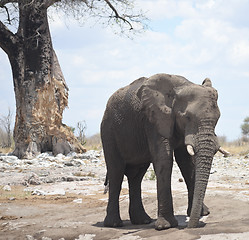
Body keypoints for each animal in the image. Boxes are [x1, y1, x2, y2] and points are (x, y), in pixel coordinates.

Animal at [100, 73, 221, 231]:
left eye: (217, 118)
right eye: (187, 117)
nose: (191, 226)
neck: (181, 86)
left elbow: (186, 162)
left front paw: (202, 213)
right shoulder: (153, 120)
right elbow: (164, 159)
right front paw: (165, 226)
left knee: (136, 177)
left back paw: (143, 221)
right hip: (108, 132)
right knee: (116, 172)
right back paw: (114, 224)